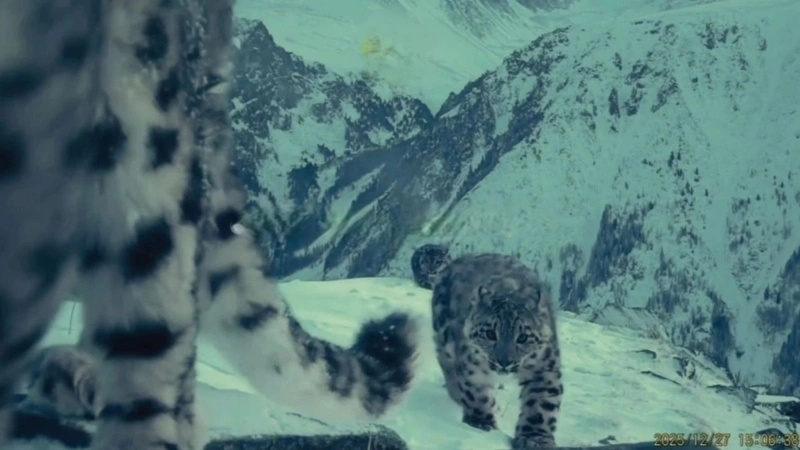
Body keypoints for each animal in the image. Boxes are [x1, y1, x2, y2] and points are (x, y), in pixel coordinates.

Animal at [431, 253, 562, 450]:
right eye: (490, 333)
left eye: (523, 337)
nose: (505, 362)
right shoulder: (472, 366)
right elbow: (477, 394)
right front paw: (482, 422)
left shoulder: (545, 368)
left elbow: (541, 405)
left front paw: (535, 438)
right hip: (444, 341)